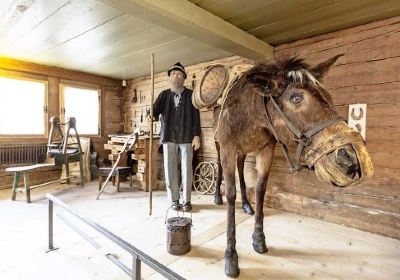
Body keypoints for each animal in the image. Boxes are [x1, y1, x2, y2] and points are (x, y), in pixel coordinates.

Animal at [214, 55, 374, 278]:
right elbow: (230, 194)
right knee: (220, 167)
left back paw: (246, 204)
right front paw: (230, 255)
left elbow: (261, 191)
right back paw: (216, 196)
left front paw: (259, 238)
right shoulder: (228, 147)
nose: (350, 157)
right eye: (296, 98)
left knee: (240, 168)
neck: (251, 116)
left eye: (328, 96)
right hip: (219, 144)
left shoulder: (266, 150)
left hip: (243, 151)